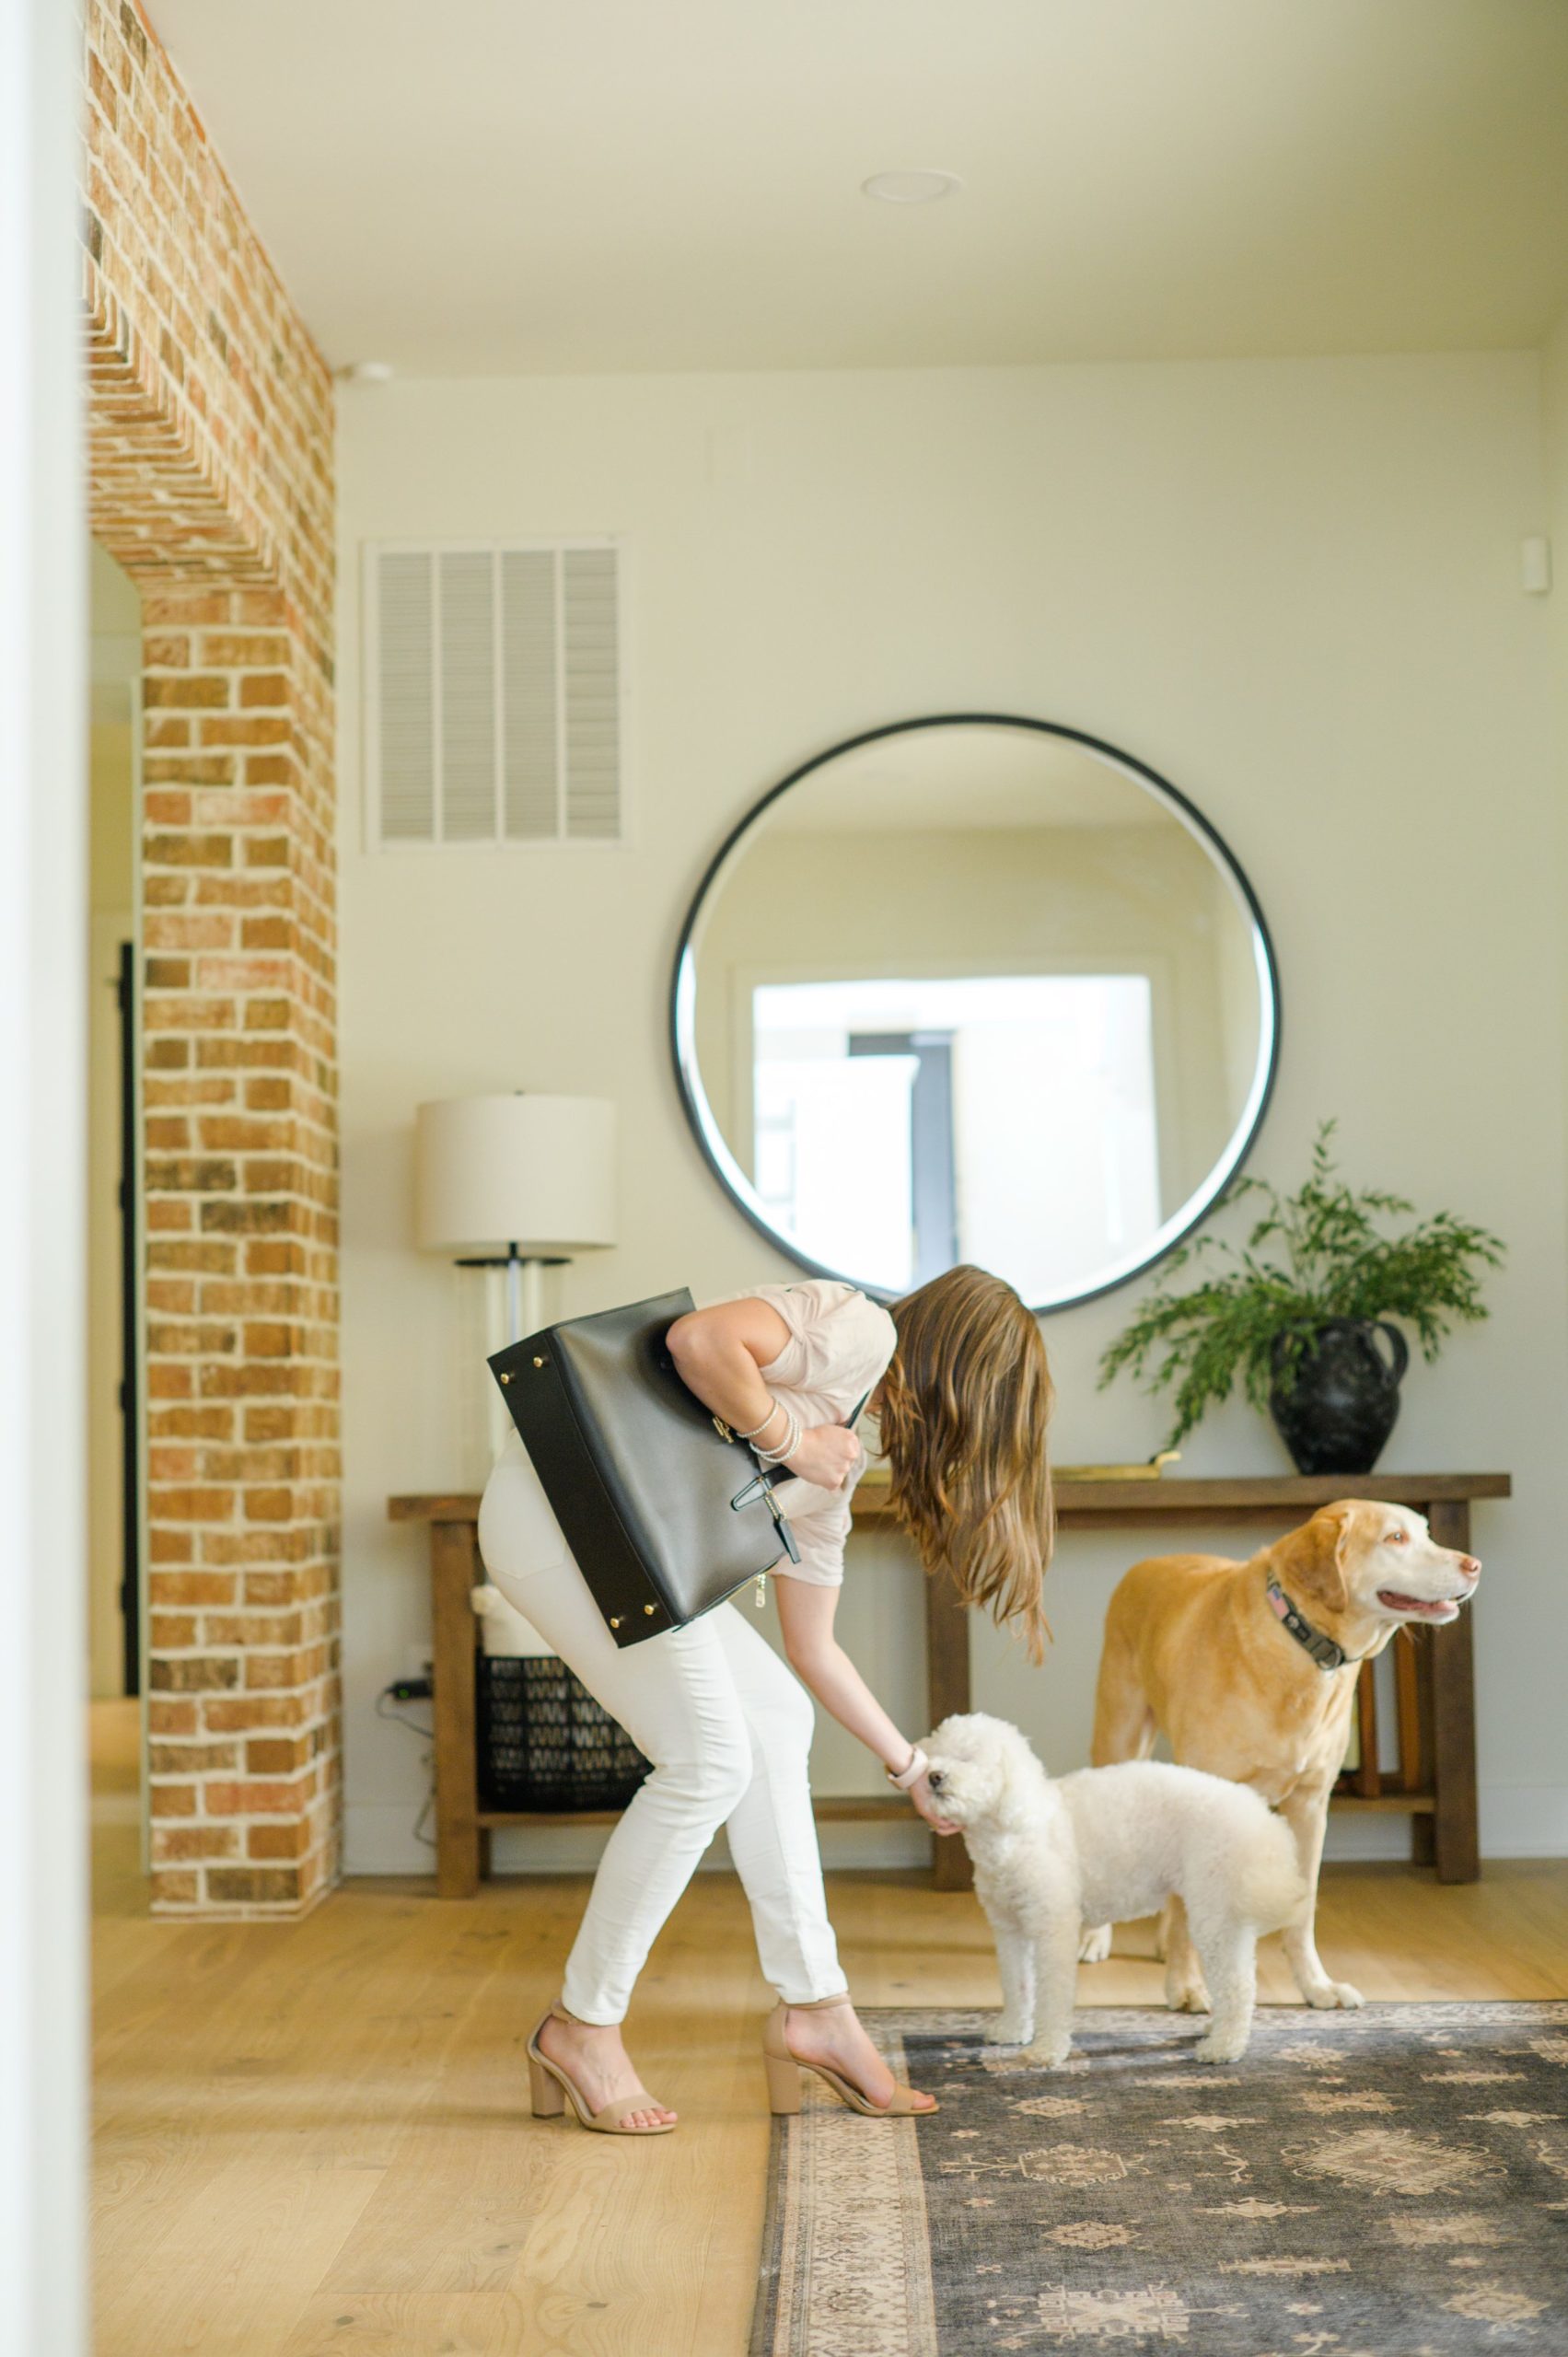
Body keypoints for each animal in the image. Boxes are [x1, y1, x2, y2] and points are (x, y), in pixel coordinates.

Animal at [923, 1715, 1301, 2064]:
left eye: (968, 1758)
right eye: (933, 1755)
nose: (933, 1776)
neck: (1015, 1829)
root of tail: (1255, 1815)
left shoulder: (1053, 1928)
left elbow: (1052, 1995)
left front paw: (1047, 2051)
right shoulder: (1011, 1929)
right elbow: (1018, 1986)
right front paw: (1013, 2030)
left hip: (1215, 1908)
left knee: (1239, 1984)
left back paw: (1224, 2047)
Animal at [1085, 1499, 1471, 2017]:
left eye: (1427, 1533)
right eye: (1395, 1538)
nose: (1475, 1566)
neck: (1301, 1645)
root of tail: (1149, 1561)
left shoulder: (1310, 1807)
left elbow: (1302, 1910)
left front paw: (1316, 1986)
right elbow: (1191, 1912)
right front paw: (1186, 1987)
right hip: (1119, 1735)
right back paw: (1096, 1938)